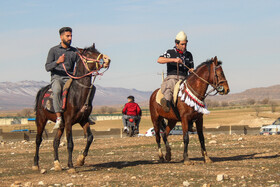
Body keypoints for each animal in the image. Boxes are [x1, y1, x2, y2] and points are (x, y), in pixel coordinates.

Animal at [32, 43, 110, 172]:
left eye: (97, 51)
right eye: (89, 54)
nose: (107, 60)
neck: (77, 93)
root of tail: (43, 91)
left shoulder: (83, 120)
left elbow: (90, 137)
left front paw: (80, 160)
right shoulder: (69, 121)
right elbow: (70, 143)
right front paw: (71, 166)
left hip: (61, 125)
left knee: (55, 142)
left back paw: (57, 164)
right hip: (41, 120)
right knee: (38, 140)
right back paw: (35, 164)